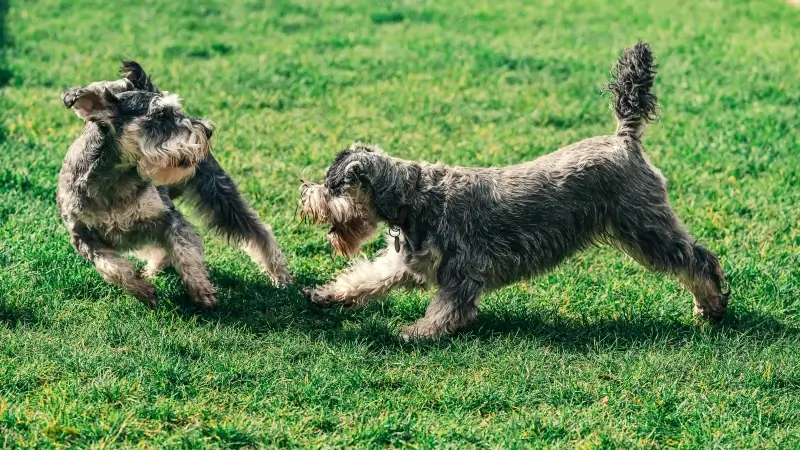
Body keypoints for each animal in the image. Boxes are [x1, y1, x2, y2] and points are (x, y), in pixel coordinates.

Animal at [58, 61, 290, 310]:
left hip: (219, 193)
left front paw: (201, 290)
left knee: (258, 231)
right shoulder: (83, 237)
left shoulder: (168, 218)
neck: (114, 181)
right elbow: (113, 268)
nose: (207, 130)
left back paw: (280, 275)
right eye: (161, 114)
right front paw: (143, 290)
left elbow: (184, 251)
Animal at [296, 42, 728, 340]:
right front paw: (327, 294)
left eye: (332, 185)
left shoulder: (462, 271)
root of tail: (625, 139)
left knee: (699, 260)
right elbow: (366, 277)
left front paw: (417, 332)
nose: (304, 194)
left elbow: (448, 310)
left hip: (645, 228)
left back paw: (711, 308)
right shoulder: (405, 263)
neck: (414, 197)